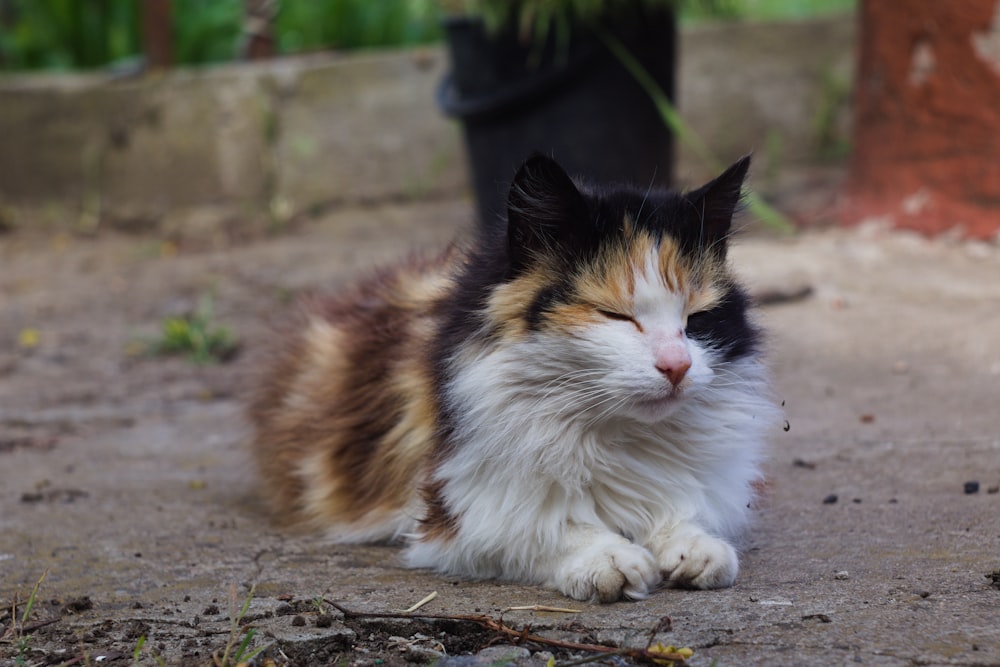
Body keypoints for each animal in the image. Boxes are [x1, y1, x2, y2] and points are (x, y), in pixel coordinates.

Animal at [250, 154, 780, 604]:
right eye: (614, 316)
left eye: (697, 319)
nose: (676, 366)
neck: (618, 437)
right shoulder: (455, 515)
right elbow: (545, 528)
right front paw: (608, 559)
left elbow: (680, 511)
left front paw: (694, 549)